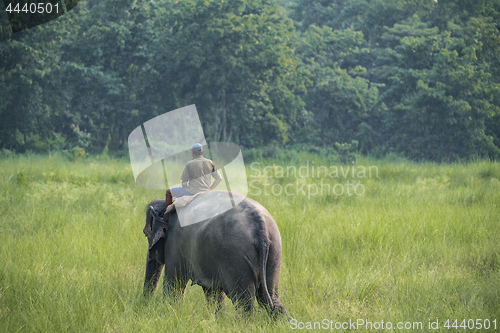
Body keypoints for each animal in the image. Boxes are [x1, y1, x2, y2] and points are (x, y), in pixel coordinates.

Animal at [142, 189, 290, 316]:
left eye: (146, 233)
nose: (144, 304)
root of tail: (260, 224)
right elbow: (212, 293)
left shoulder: (175, 243)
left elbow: (173, 285)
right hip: (274, 250)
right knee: (269, 297)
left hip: (235, 255)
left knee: (243, 302)